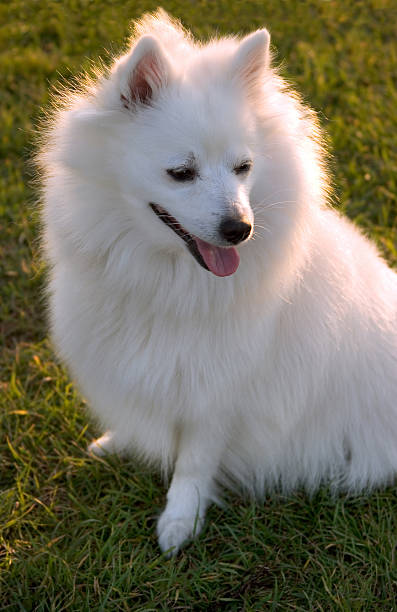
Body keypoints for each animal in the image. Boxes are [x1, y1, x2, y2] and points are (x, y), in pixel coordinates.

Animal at [39, 9, 396, 556]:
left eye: (243, 167)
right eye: (181, 173)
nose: (240, 229)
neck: (166, 280)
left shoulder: (219, 390)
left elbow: (193, 463)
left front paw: (179, 523)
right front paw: (118, 442)